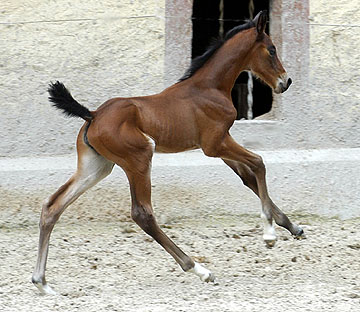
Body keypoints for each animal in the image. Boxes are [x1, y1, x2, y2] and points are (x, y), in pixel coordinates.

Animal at [33, 11, 304, 294]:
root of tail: (92, 114)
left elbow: (248, 177)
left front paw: (293, 227)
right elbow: (259, 163)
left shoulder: (219, 146)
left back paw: (42, 282)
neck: (209, 88)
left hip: (97, 166)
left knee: (52, 206)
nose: (286, 81)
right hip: (140, 157)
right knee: (142, 214)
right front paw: (269, 235)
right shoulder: (216, 144)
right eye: (272, 49)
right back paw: (199, 270)